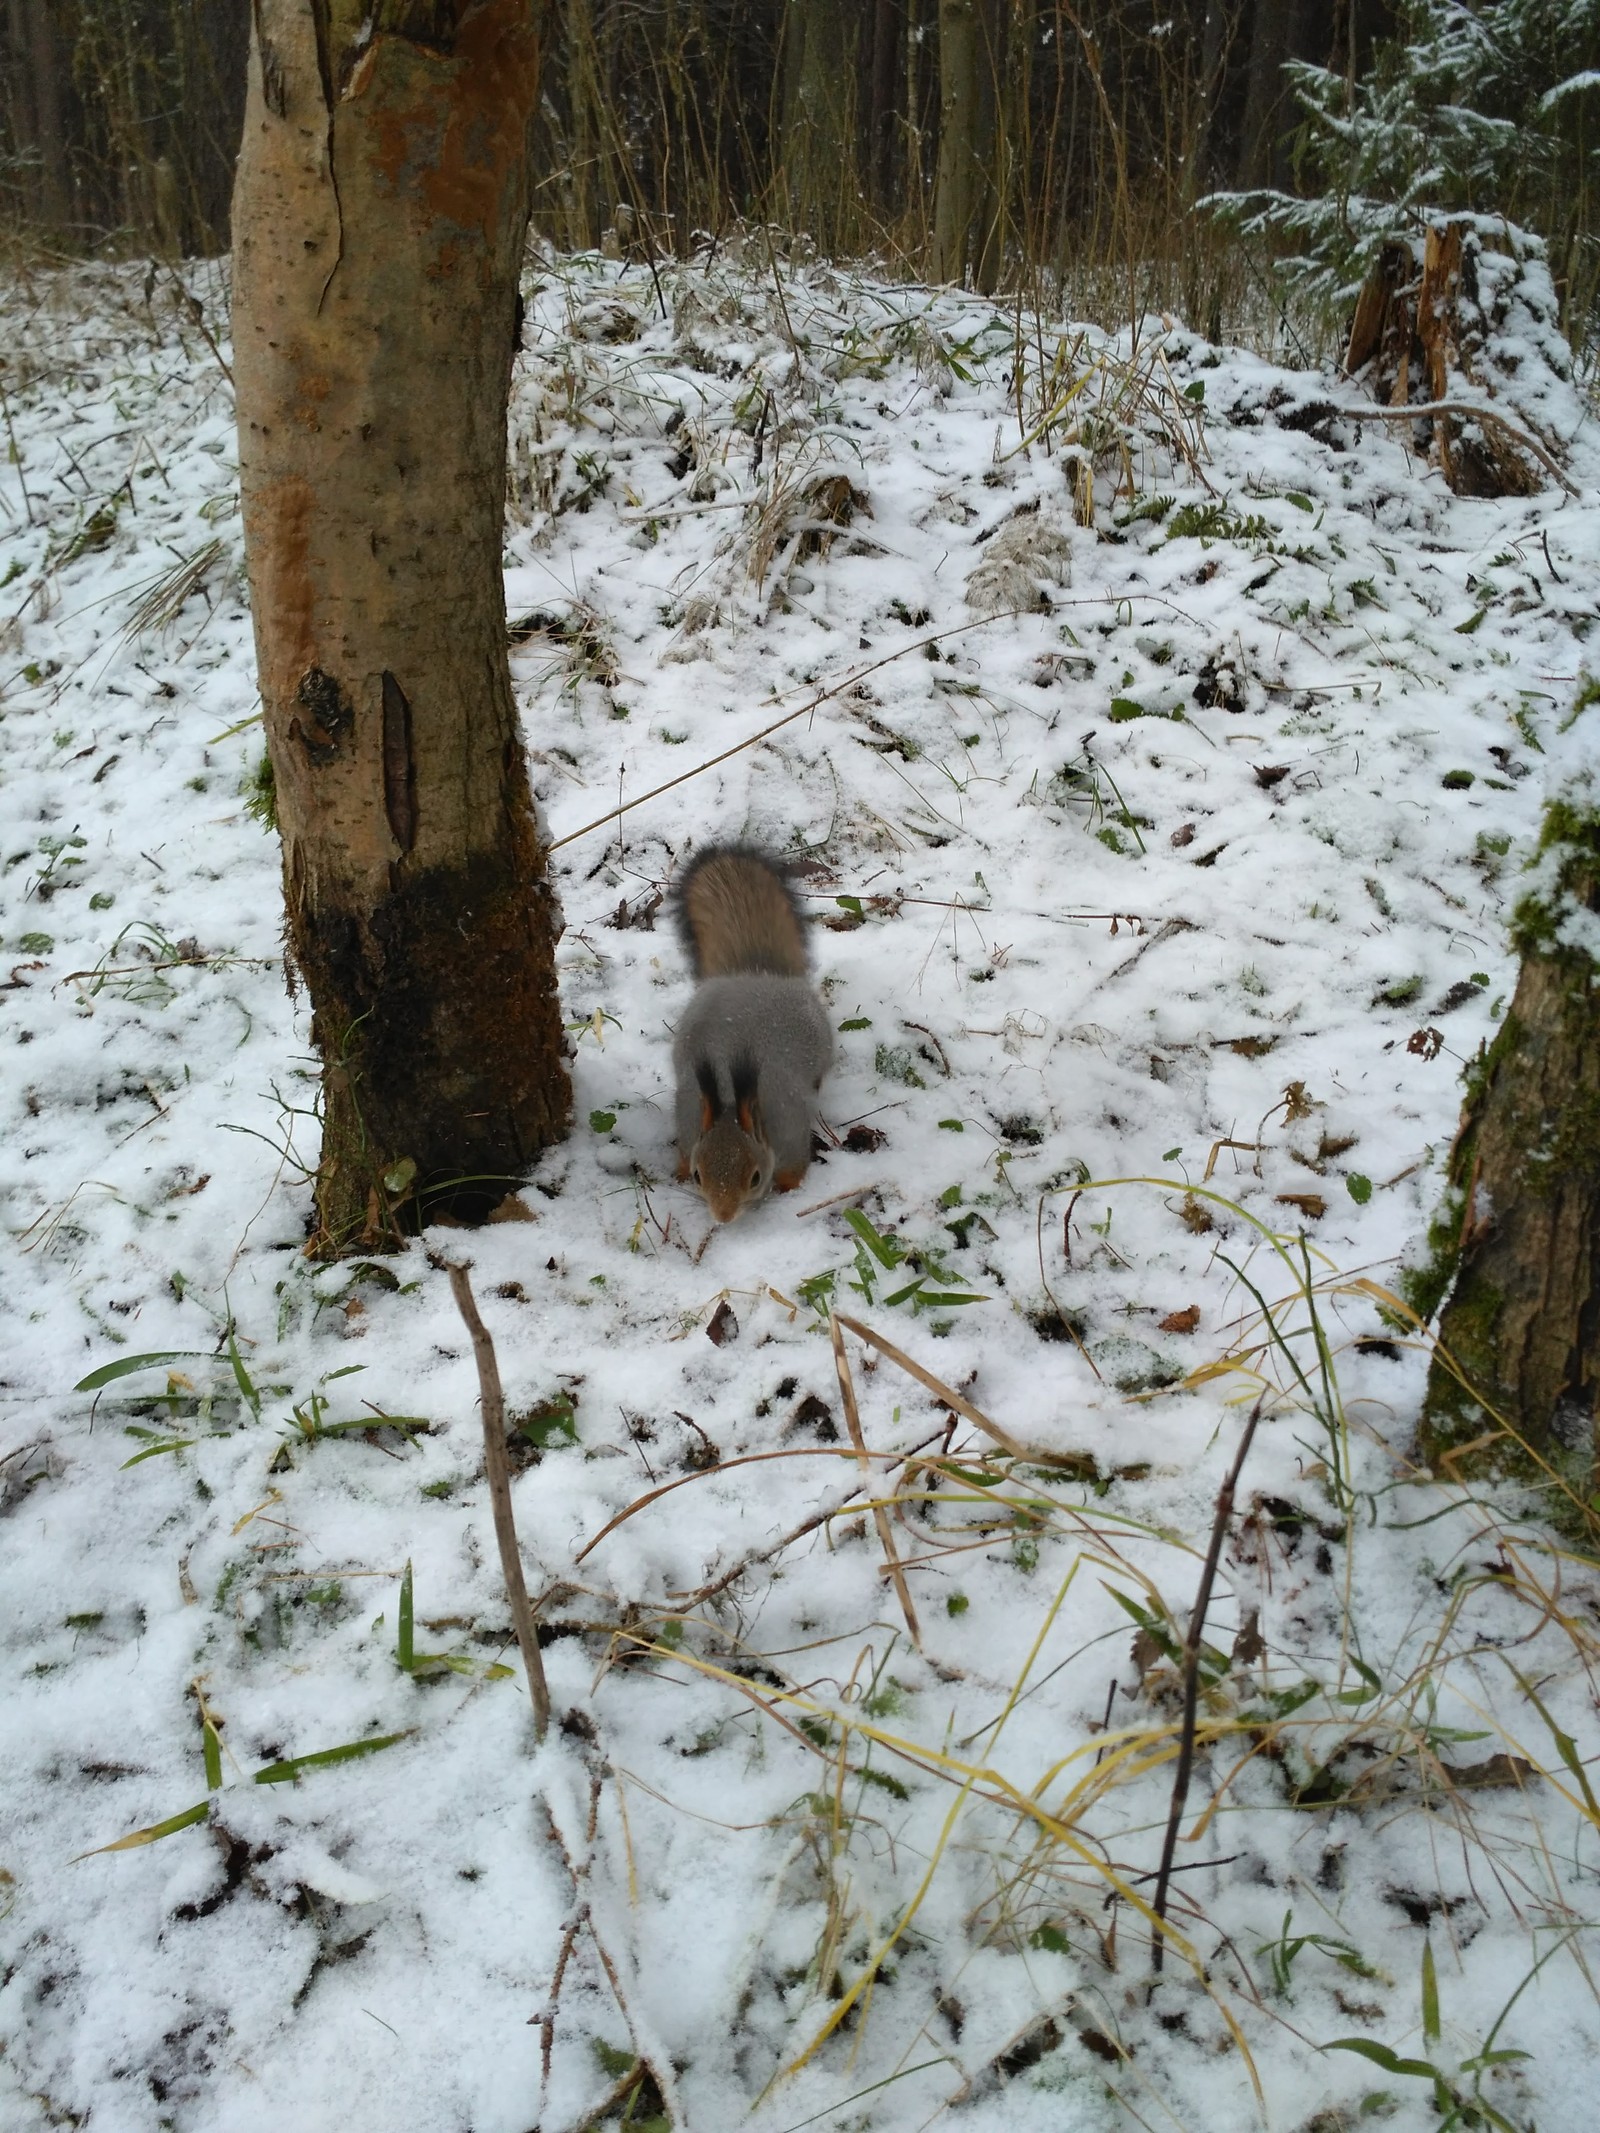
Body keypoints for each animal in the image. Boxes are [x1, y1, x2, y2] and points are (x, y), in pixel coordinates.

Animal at [669, 844, 832, 1228]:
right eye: (698, 1175)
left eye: (755, 1177)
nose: (723, 1217)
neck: (731, 1096)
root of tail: (753, 974)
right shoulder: (688, 1121)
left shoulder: (790, 1129)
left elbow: (793, 1170)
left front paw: (787, 1191)